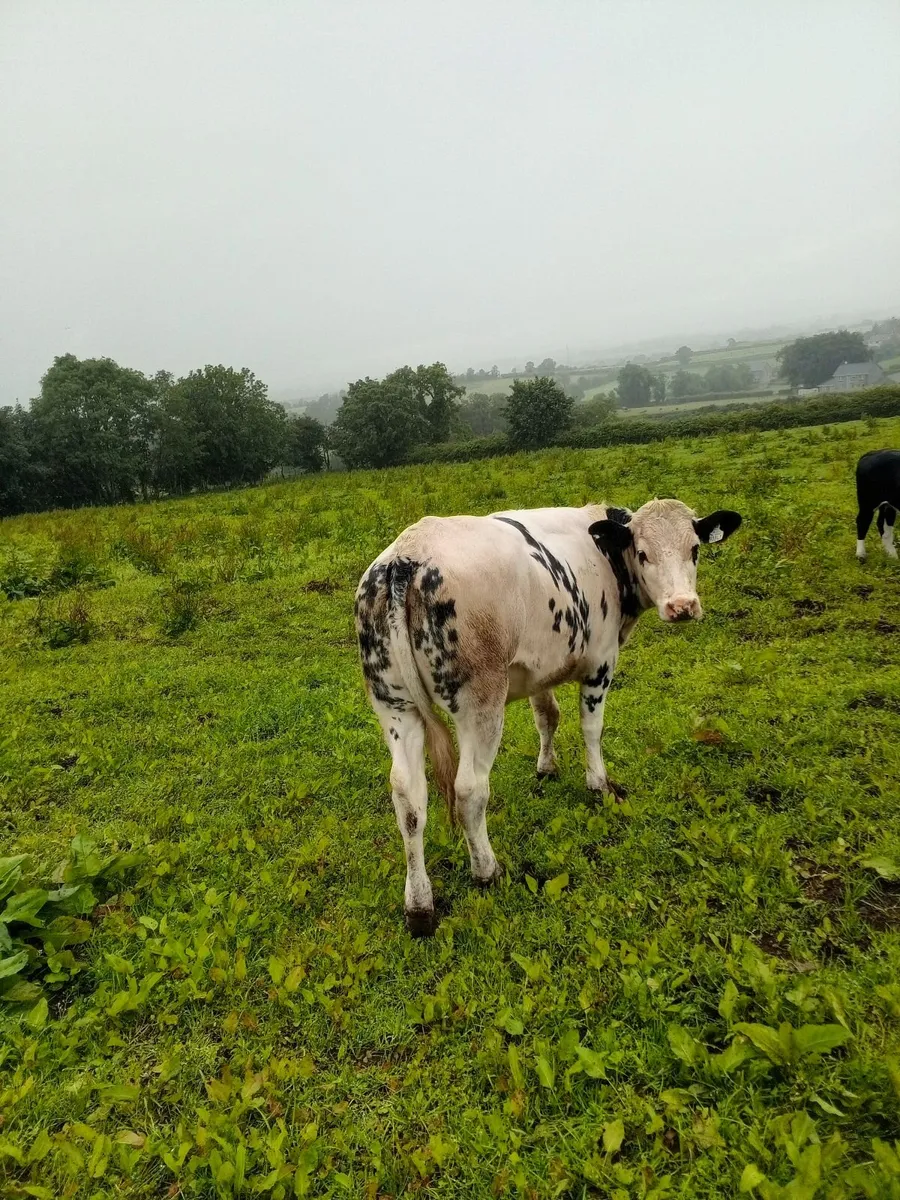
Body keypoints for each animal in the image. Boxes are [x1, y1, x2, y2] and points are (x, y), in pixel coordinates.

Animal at [355, 498, 742, 934]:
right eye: (643, 553)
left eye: (694, 549)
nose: (682, 607)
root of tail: (409, 554)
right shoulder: (600, 662)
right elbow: (591, 728)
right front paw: (599, 784)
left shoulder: (541, 668)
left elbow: (548, 716)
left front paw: (546, 766)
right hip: (481, 701)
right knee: (470, 790)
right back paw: (487, 870)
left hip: (394, 704)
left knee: (408, 799)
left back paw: (419, 905)